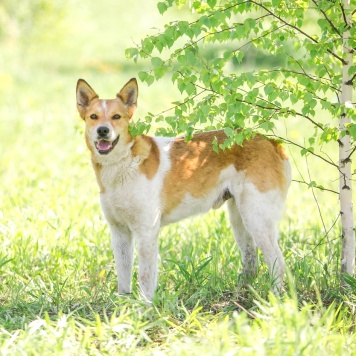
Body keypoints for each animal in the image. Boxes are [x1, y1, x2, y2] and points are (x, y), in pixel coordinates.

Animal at [76, 78, 290, 300]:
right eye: (93, 117)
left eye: (116, 117)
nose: (102, 130)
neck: (122, 164)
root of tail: (270, 142)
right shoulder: (119, 232)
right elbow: (123, 273)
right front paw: (124, 302)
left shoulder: (146, 231)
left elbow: (145, 277)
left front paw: (145, 305)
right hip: (240, 219)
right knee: (251, 260)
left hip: (257, 219)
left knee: (278, 263)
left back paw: (275, 299)